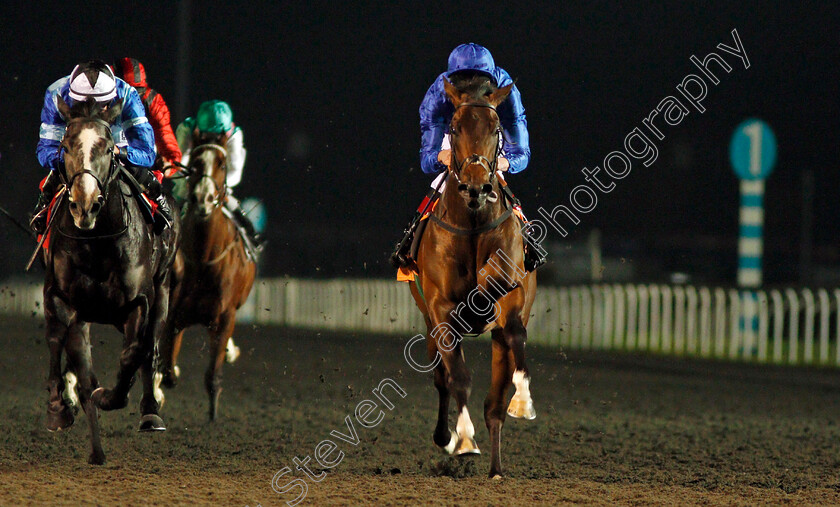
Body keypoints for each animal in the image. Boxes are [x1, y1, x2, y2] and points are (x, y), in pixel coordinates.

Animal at [43, 95, 180, 464]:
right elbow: (67, 353)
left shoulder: (140, 302)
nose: (85, 205)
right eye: (64, 145)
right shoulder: (64, 301)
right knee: (70, 358)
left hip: (163, 292)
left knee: (149, 346)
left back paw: (150, 410)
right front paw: (63, 410)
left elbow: (133, 354)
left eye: (108, 149)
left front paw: (112, 396)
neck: (98, 243)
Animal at [158, 141, 256, 418]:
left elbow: (212, 375)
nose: (203, 198)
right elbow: (167, 368)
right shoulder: (175, 314)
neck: (203, 258)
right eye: (195, 163)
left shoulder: (224, 316)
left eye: (222, 164)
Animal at [408, 75, 540, 480]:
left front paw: (523, 400)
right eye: (453, 127)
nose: (477, 186)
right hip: (428, 317)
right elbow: (458, 377)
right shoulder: (441, 309)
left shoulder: (510, 296)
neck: (472, 226)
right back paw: (445, 437)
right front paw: (463, 439)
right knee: (442, 378)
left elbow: (516, 337)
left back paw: (496, 467)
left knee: (494, 401)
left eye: (497, 128)